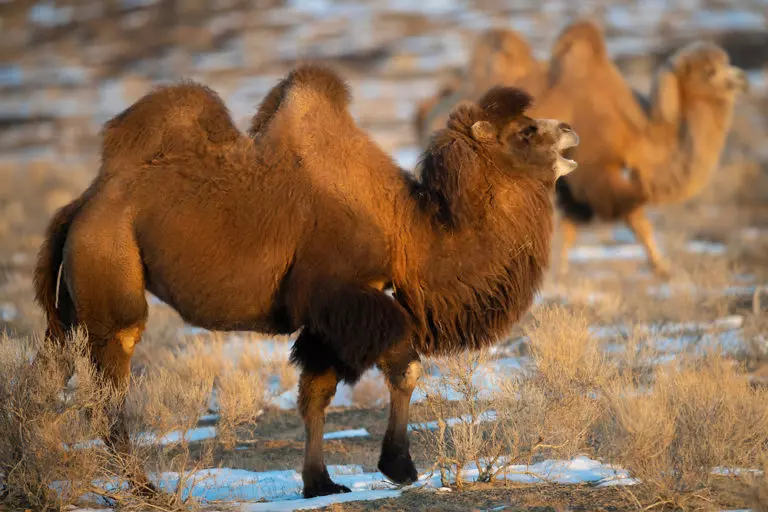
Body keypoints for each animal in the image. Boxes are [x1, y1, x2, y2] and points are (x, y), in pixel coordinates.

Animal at [33, 65, 580, 500]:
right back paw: (143, 487)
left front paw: (320, 483)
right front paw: (399, 466)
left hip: (70, 300)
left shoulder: (328, 317)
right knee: (109, 382)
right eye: (526, 131)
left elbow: (316, 391)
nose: (571, 131)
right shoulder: (338, 295)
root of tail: (81, 206)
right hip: (110, 270)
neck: (404, 226)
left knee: (59, 370)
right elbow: (404, 366)